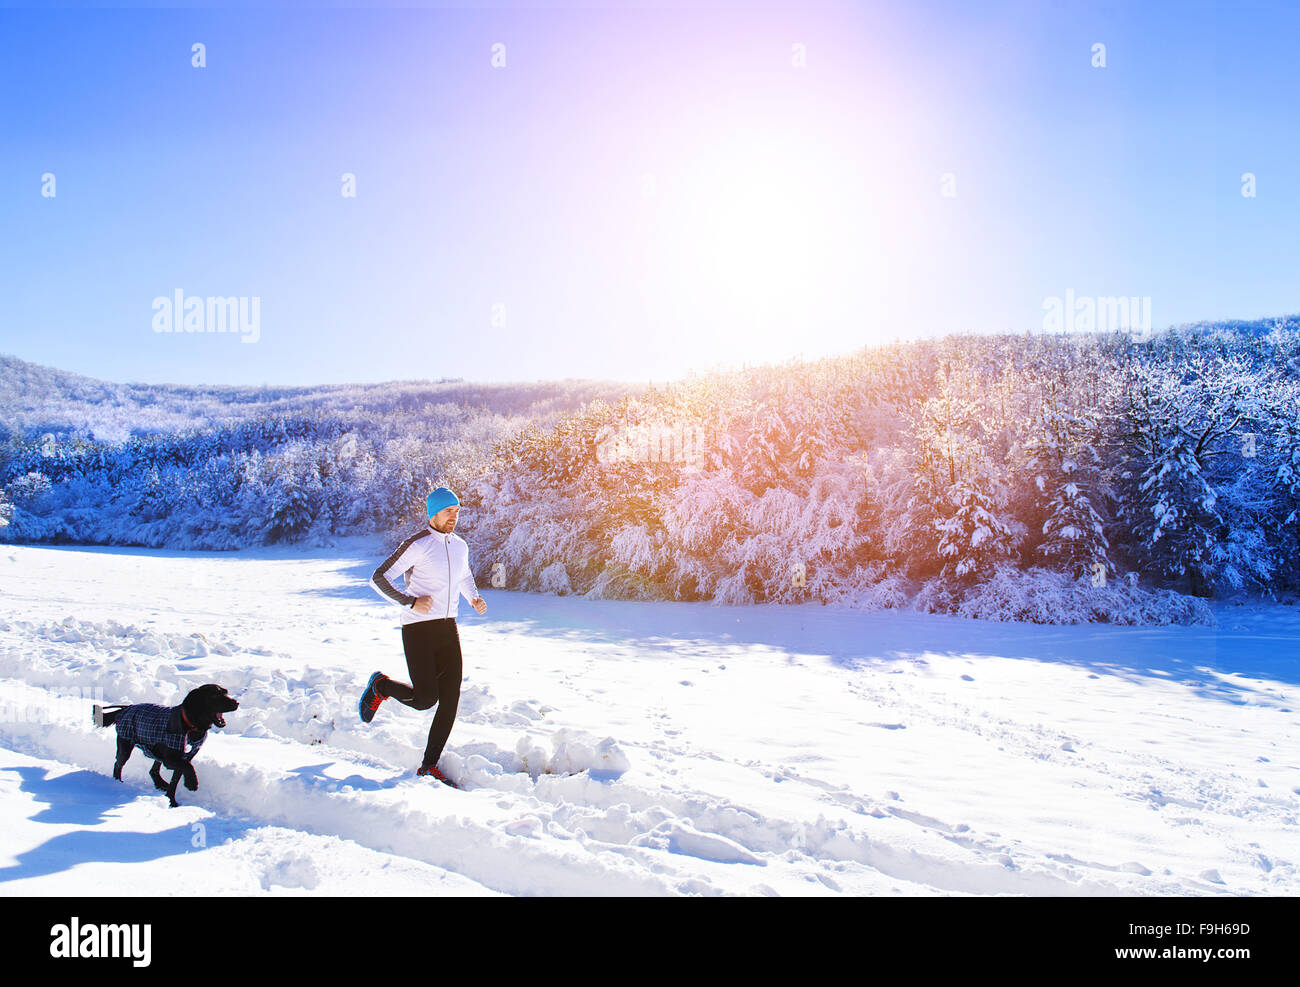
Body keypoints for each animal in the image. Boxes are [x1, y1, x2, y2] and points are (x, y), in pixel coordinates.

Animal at [96, 681, 241, 806]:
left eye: (226, 692)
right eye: (214, 695)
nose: (237, 703)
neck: (192, 726)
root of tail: (126, 709)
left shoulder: (184, 757)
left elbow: (175, 780)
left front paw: (171, 802)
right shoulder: (172, 759)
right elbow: (188, 767)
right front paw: (191, 783)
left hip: (154, 749)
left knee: (153, 770)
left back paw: (160, 783)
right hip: (126, 745)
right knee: (118, 764)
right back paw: (117, 783)